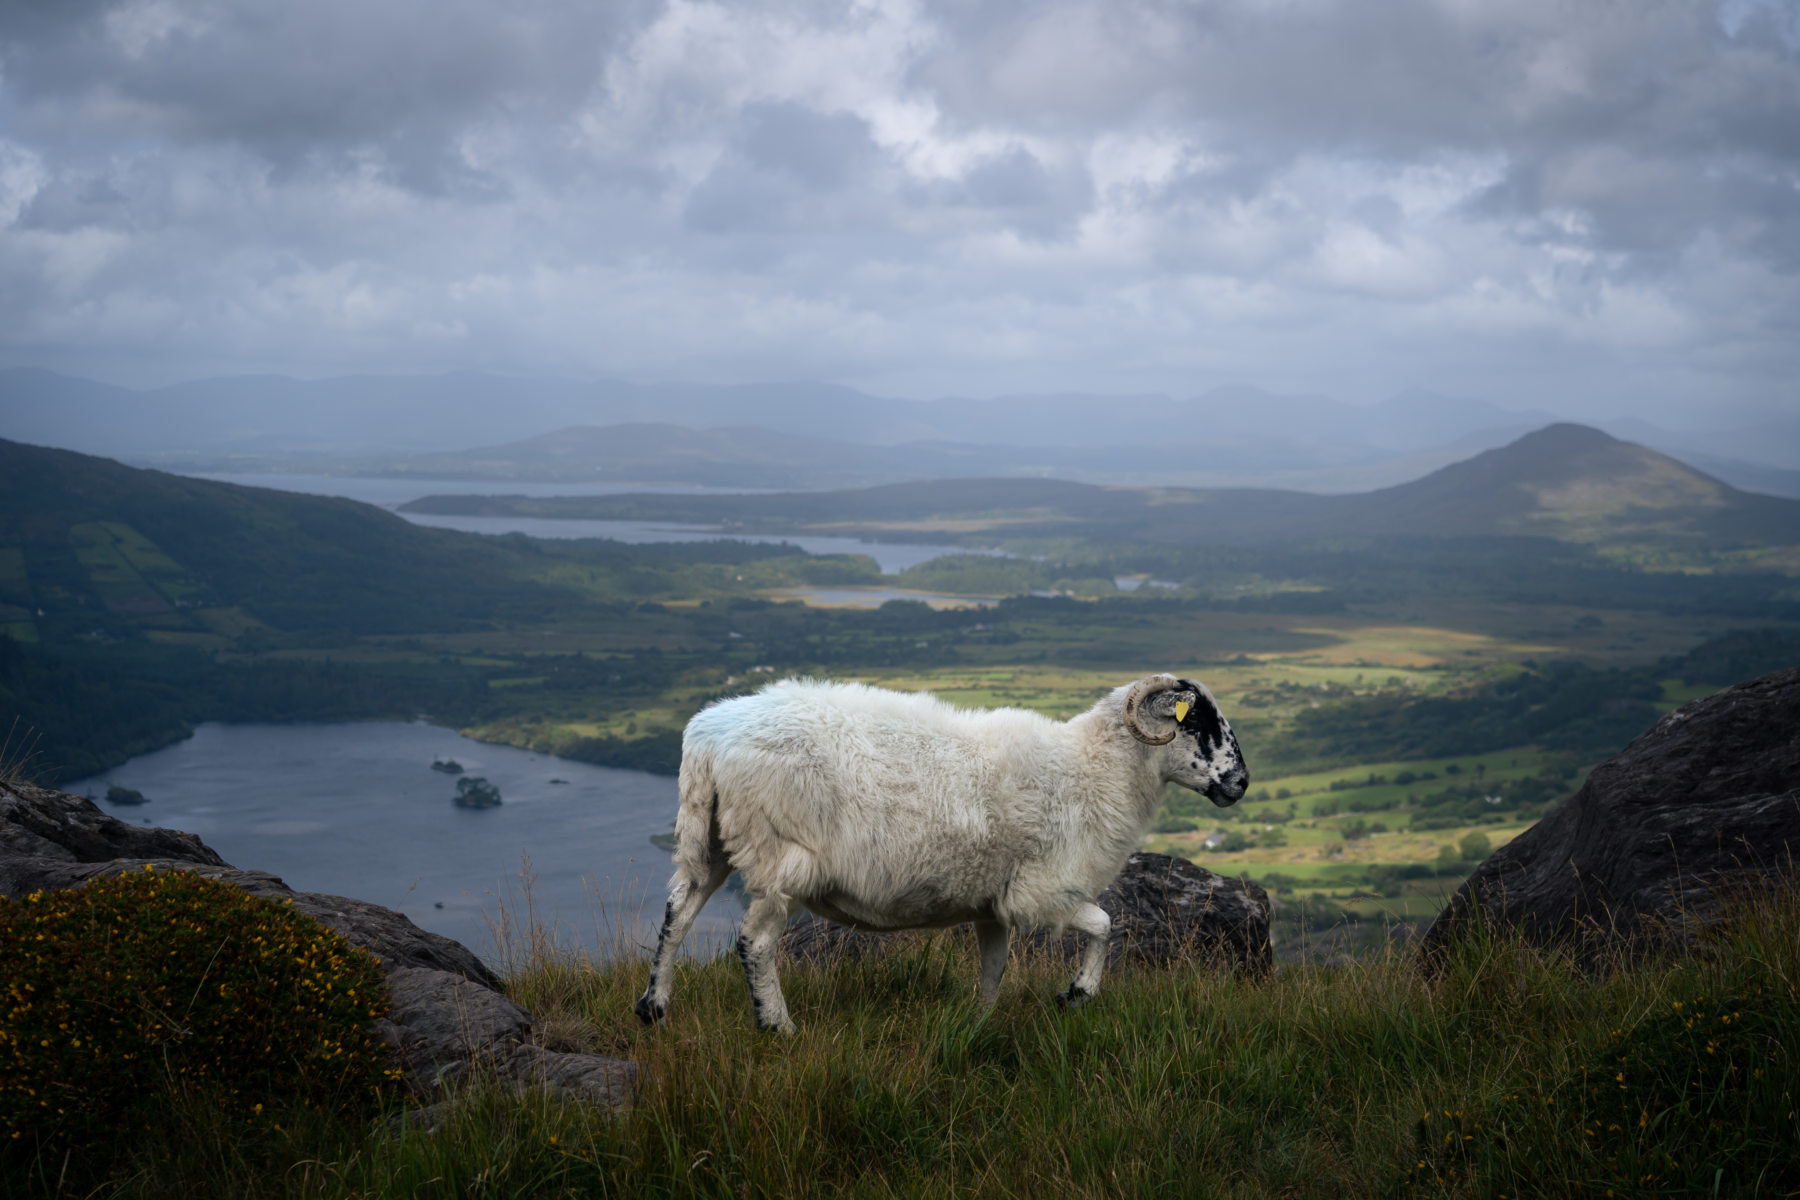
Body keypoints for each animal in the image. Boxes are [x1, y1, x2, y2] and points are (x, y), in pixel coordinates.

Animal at [637, 676, 1252, 1036]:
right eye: (1198, 723)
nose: (1241, 783)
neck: (1094, 771)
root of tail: (709, 739)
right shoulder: (1043, 892)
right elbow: (1106, 925)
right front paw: (1076, 994)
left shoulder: (994, 906)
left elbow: (994, 969)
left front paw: (976, 1023)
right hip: (782, 857)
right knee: (755, 944)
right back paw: (778, 1026)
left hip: (709, 841)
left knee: (677, 914)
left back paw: (654, 1007)